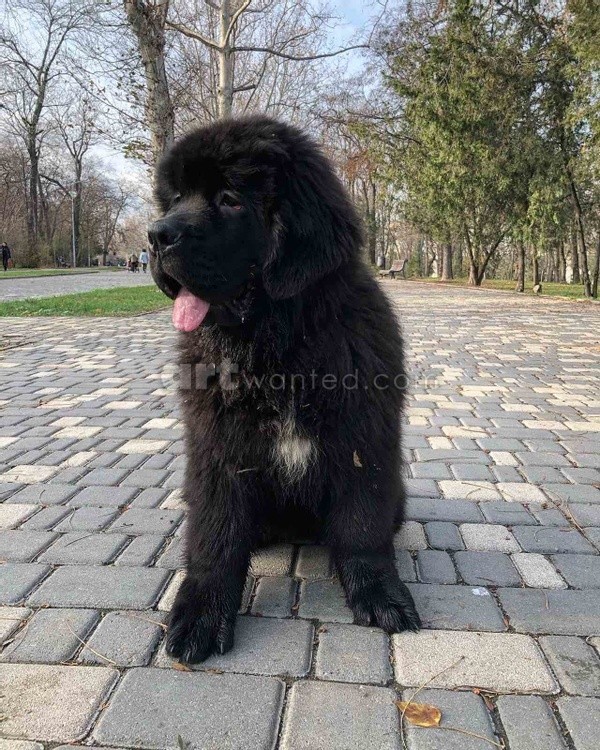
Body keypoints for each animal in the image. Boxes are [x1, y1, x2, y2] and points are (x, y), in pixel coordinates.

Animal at [149, 114, 422, 660]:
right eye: (175, 198)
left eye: (230, 199)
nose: (155, 235)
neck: (277, 349)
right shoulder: (218, 446)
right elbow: (215, 533)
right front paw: (201, 611)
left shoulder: (362, 441)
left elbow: (362, 526)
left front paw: (379, 591)